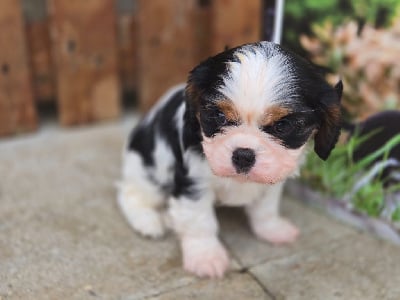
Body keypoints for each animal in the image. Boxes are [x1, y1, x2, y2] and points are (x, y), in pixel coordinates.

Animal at [117, 41, 342, 278]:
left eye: (283, 126)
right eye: (219, 116)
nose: (243, 155)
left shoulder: (272, 179)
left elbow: (266, 208)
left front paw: (272, 229)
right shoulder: (193, 182)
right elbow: (199, 220)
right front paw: (205, 256)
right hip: (147, 173)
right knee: (129, 193)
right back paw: (148, 222)